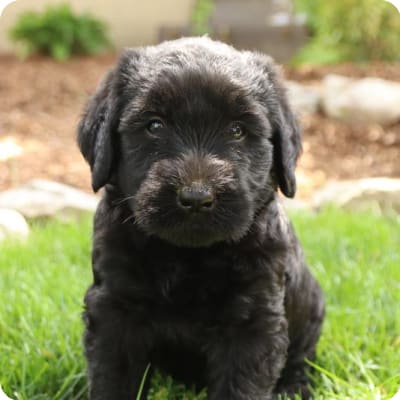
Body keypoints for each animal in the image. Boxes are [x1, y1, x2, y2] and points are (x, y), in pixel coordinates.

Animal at [78, 37, 324, 400]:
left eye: (237, 130)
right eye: (154, 125)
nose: (196, 197)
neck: (188, 256)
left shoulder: (252, 321)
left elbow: (240, 387)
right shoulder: (114, 309)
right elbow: (114, 379)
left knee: (300, 359)